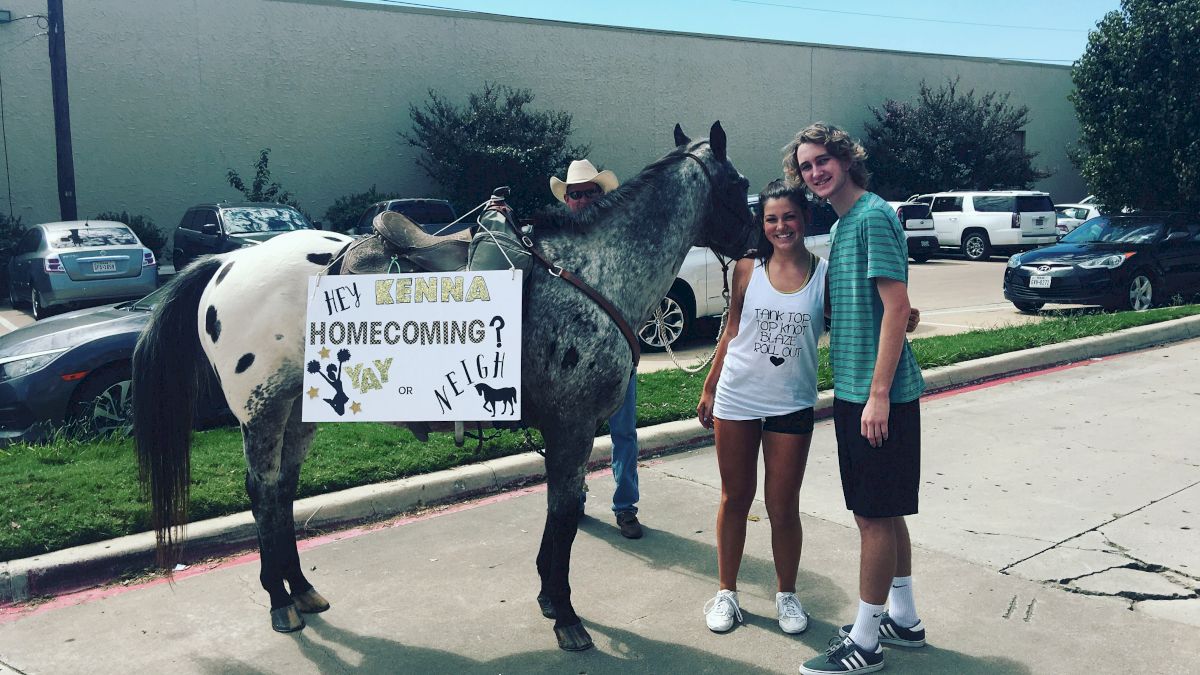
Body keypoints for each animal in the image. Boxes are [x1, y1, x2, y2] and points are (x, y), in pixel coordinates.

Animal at [131, 121, 748, 653]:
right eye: (740, 185)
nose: (758, 244)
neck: (590, 273)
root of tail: (225, 264)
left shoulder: (565, 430)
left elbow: (560, 514)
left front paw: (550, 599)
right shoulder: (571, 427)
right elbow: (565, 514)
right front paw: (566, 614)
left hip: (297, 413)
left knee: (281, 493)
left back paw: (301, 591)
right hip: (262, 412)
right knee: (262, 494)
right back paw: (280, 603)